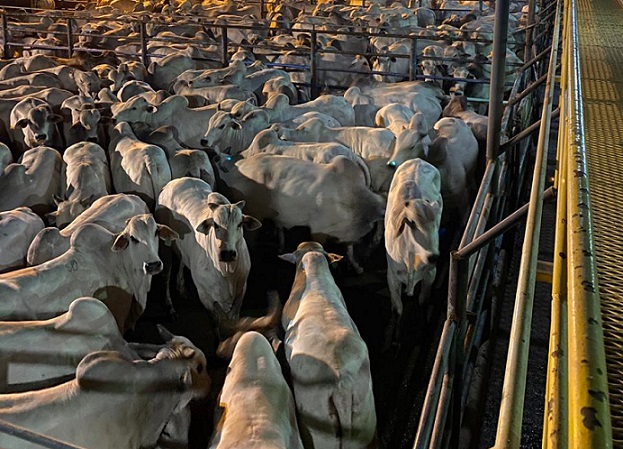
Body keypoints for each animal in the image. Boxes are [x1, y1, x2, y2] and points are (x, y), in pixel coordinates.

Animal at [157, 177, 262, 320]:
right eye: (215, 224)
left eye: (240, 224)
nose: (227, 254)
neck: (227, 272)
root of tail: (176, 181)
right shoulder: (206, 299)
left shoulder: (240, 295)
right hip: (165, 245)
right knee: (166, 275)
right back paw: (170, 308)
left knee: (182, 260)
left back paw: (181, 288)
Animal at [386, 159, 444, 342]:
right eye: (412, 224)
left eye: (435, 225)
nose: (433, 256)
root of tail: (418, 160)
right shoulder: (392, 277)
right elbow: (397, 309)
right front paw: (395, 339)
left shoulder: (430, 273)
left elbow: (424, 301)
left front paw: (424, 331)